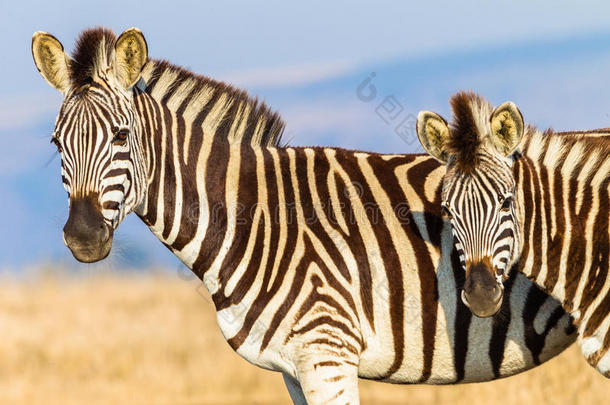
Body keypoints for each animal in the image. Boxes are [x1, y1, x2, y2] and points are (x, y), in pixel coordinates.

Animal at [30, 26, 576, 402]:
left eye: (122, 136)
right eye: (56, 144)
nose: (82, 237)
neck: (260, 219)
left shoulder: (327, 354)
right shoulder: (293, 367)